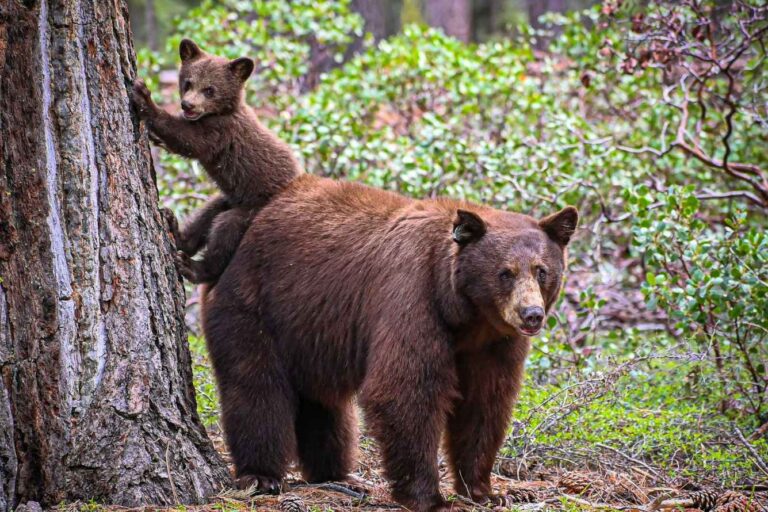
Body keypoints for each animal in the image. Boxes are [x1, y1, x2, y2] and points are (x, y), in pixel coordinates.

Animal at [131, 39, 302, 283]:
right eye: (188, 83)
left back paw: (192, 266)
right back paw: (175, 229)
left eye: (209, 89)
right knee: (207, 214)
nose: (187, 105)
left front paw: (144, 96)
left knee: (225, 231)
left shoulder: (220, 132)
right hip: (230, 198)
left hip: (250, 212)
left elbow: (186, 139)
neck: (222, 112)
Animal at [201, 174, 578, 511]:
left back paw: (337, 474)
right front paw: (429, 497)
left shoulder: (494, 342)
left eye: (542, 271)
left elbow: (484, 403)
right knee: (256, 388)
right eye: (505, 272)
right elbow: (405, 390)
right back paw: (262, 475)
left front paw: (487, 491)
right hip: (254, 305)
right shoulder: (412, 296)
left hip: (310, 330)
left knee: (324, 403)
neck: (465, 315)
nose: (531, 314)